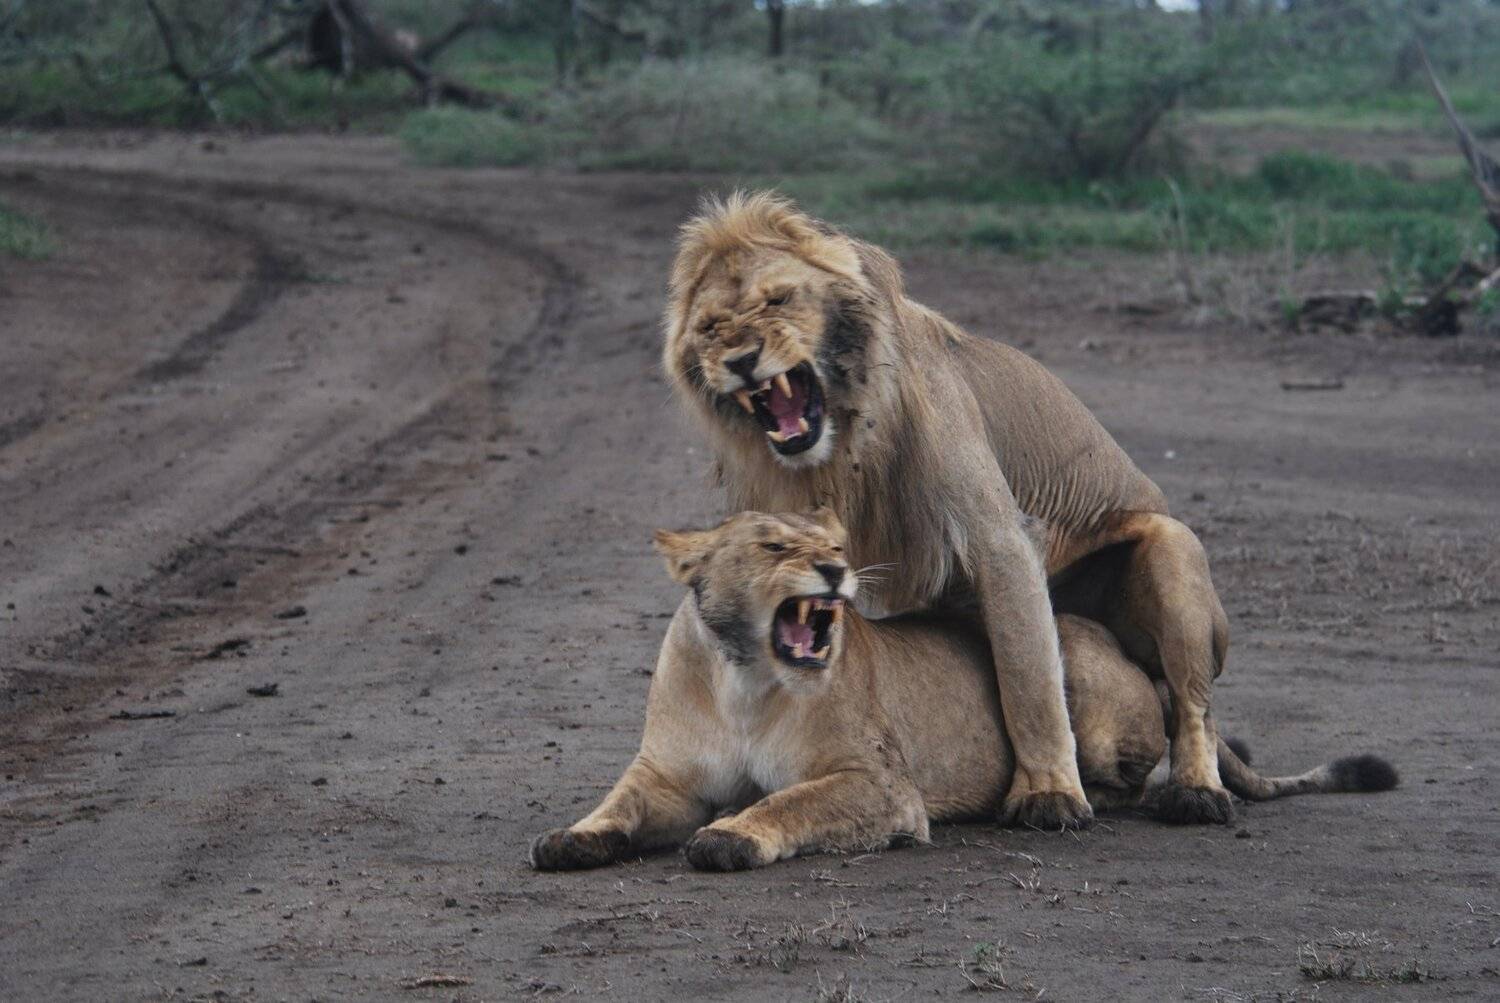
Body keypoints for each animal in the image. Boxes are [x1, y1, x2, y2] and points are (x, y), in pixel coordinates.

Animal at [529, 510, 1397, 872]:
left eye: (834, 542)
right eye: (774, 545)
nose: (837, 570)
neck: (746, 673)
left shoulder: (881, 784)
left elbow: (789, 801)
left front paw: (730, 836)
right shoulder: (665, 778)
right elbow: (618, 805)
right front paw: (571, 838)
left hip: (1073, 669)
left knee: (1123, 769)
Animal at [663, 191, 1238, 826]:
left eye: (778, 299)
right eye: (711, 328)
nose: (741, 359)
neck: (840, 450)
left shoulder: (999, 538)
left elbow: (1028, 677)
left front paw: (1048, 793)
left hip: (1171, 545)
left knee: (1194, 706)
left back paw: (1197, 792)